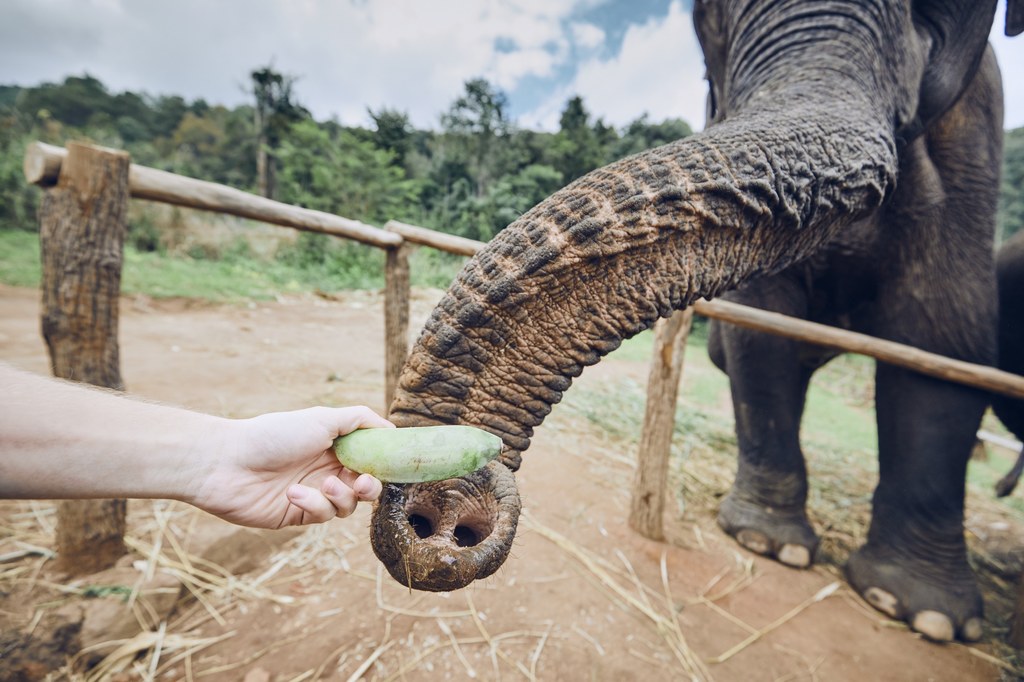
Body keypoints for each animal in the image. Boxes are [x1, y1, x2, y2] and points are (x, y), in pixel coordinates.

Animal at [364, 0, 1019, 638]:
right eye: (713, 24)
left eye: (929, 15)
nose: (443, 507)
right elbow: (761, 333)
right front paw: (773, 547)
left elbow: (945, 341)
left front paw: (923, 616)